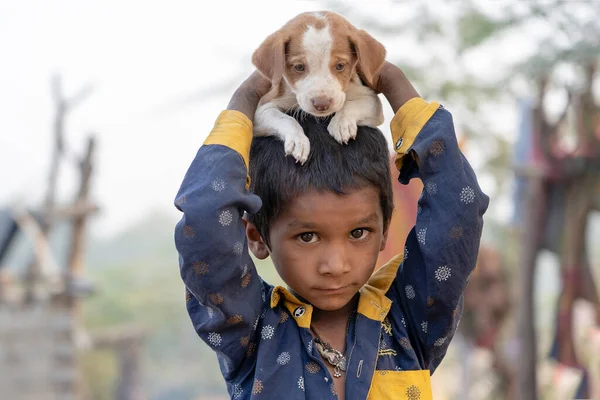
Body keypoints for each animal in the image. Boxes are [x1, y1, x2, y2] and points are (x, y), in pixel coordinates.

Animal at [252, 11, 384, 163]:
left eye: (340, 66)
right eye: (299, 67)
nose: (322, 104)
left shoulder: (371, 100)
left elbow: (350, 105)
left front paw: (341, 123)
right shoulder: (262, 109)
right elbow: (285, 119)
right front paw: (298, 140)